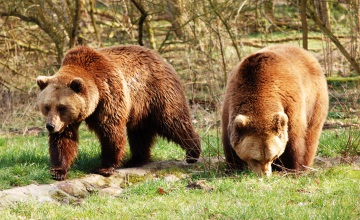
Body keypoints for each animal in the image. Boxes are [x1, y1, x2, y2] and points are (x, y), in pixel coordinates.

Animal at [36, 45, 201, 180]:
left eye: (62, 107)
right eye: (46, 106)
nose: (50, 126)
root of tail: (161, 58)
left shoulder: (109, 94)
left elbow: (111, 131)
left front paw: (104, 167)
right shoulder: (69, 120)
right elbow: (64, 139)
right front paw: (58, 171)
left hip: (157, 93)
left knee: (174, 122)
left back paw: (193, 152)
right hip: (140, 108)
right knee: (139, 133)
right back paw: (136, 160)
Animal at [221, 43, 328, 176]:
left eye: (272, 156)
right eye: (255, 159)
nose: (265, 175)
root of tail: (305, 52)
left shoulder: (290, 104)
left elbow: (294, 140)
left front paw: (292, 167)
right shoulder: (230, 103)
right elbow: (229, 142)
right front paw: (234, 167)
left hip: (314, 100)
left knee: (311, 133)